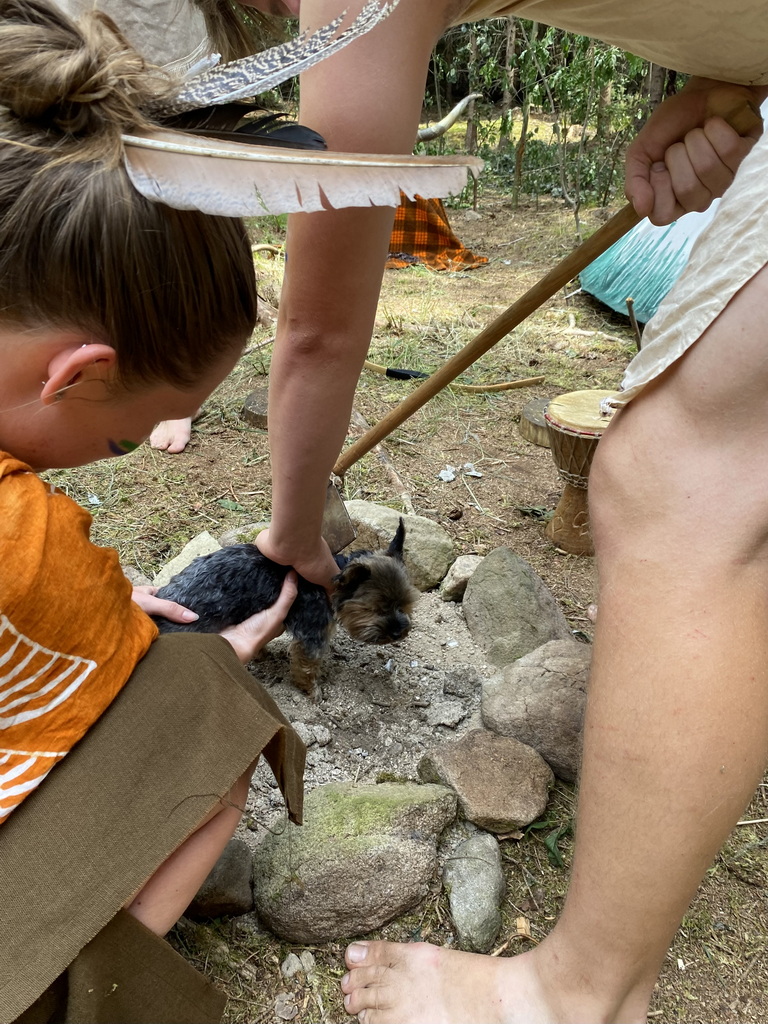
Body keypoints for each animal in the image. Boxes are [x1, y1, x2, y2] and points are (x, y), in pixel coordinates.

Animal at [152, 518, 419, 693]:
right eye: (376, 609)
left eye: (406, 605)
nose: (399, 631)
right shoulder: (313, 631)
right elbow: (307, 665)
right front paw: (310, 690)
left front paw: (263, 655)